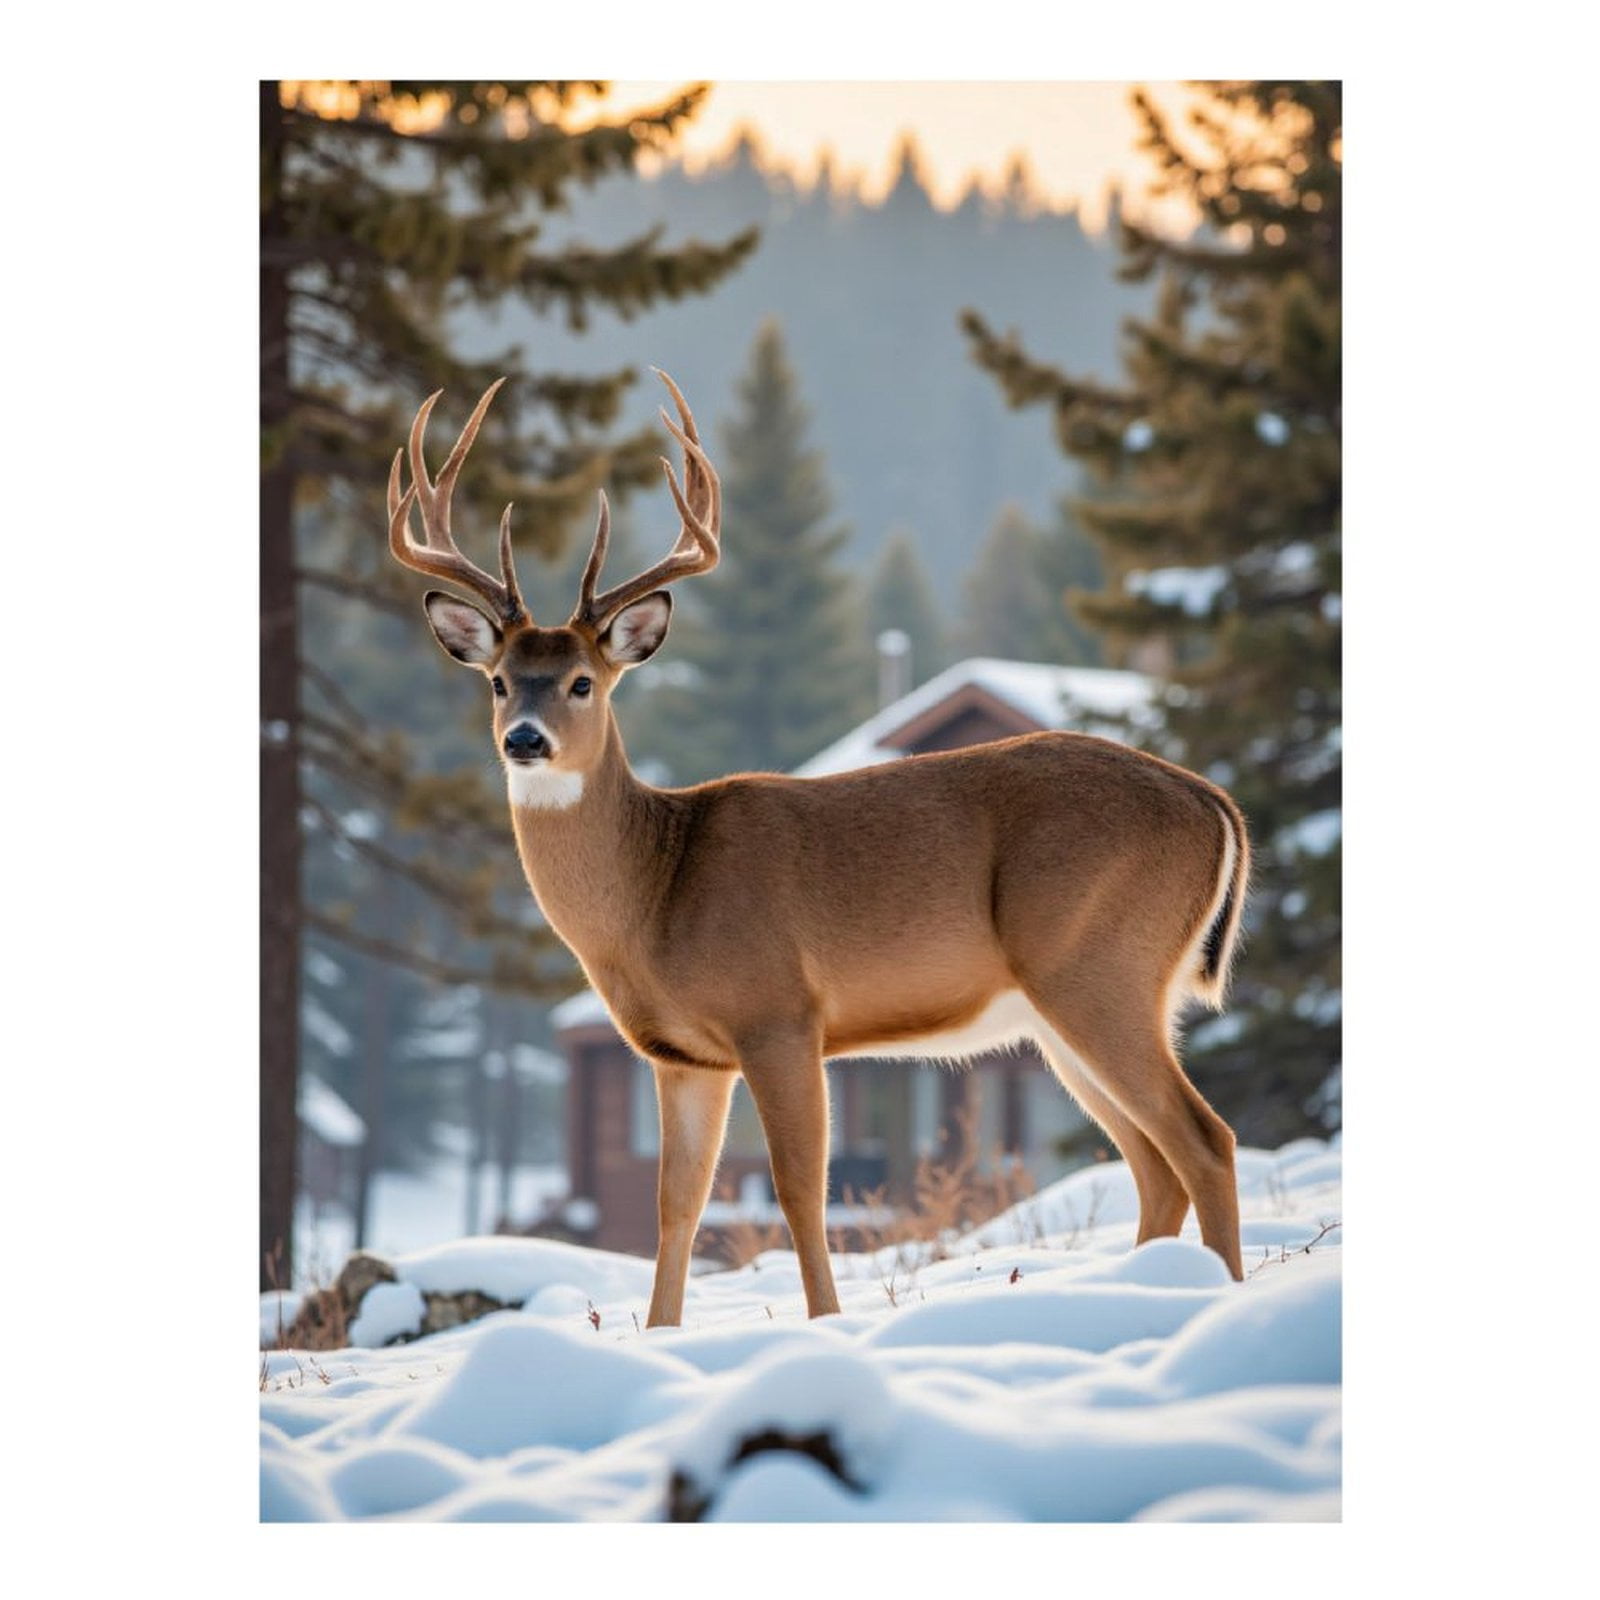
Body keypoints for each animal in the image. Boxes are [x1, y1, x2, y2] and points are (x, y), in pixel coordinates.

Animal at [386, 372, 1251, 1327]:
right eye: (500, 683)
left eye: (583, 682)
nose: (525, 740)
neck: (658, 892)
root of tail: (1213, 804)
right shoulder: (683, 1056)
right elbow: (677, 1204)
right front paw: (662, 1335)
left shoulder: (780, 1014)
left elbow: (801, 1188)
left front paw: (826, 1323)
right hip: (1065, 1007)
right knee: (1151, 1163)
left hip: (1098, 966)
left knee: (1204, 1139)